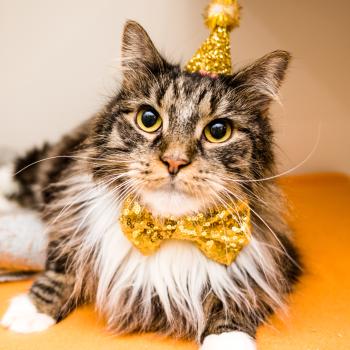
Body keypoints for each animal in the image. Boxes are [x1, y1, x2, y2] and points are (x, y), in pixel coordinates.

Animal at [0, 21, 300, 350]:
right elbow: (59, 268)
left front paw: (228, 340)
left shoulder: (274, 262)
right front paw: (31, 310)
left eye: (218, 131)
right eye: (148, 119)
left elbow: (236, 297)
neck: (169, 229)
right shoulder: (70, 217)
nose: (174, 161)